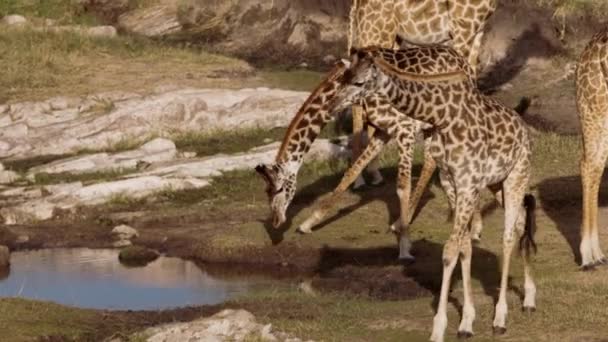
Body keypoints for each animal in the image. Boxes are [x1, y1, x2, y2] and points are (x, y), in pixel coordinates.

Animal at [332, 44, 536, 340]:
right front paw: (466, 321)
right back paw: (529, 298)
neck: (440, 117)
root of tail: (524, 129)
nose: (334, 105)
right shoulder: (451, 180)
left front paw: (439, 328)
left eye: (359, 82)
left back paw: (501, 317)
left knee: (508, 236)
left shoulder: (467, 181)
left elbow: (450, 250)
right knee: (520, 220)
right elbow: (463, 246)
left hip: (516, 176)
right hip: (497, 183)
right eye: (344, 77)